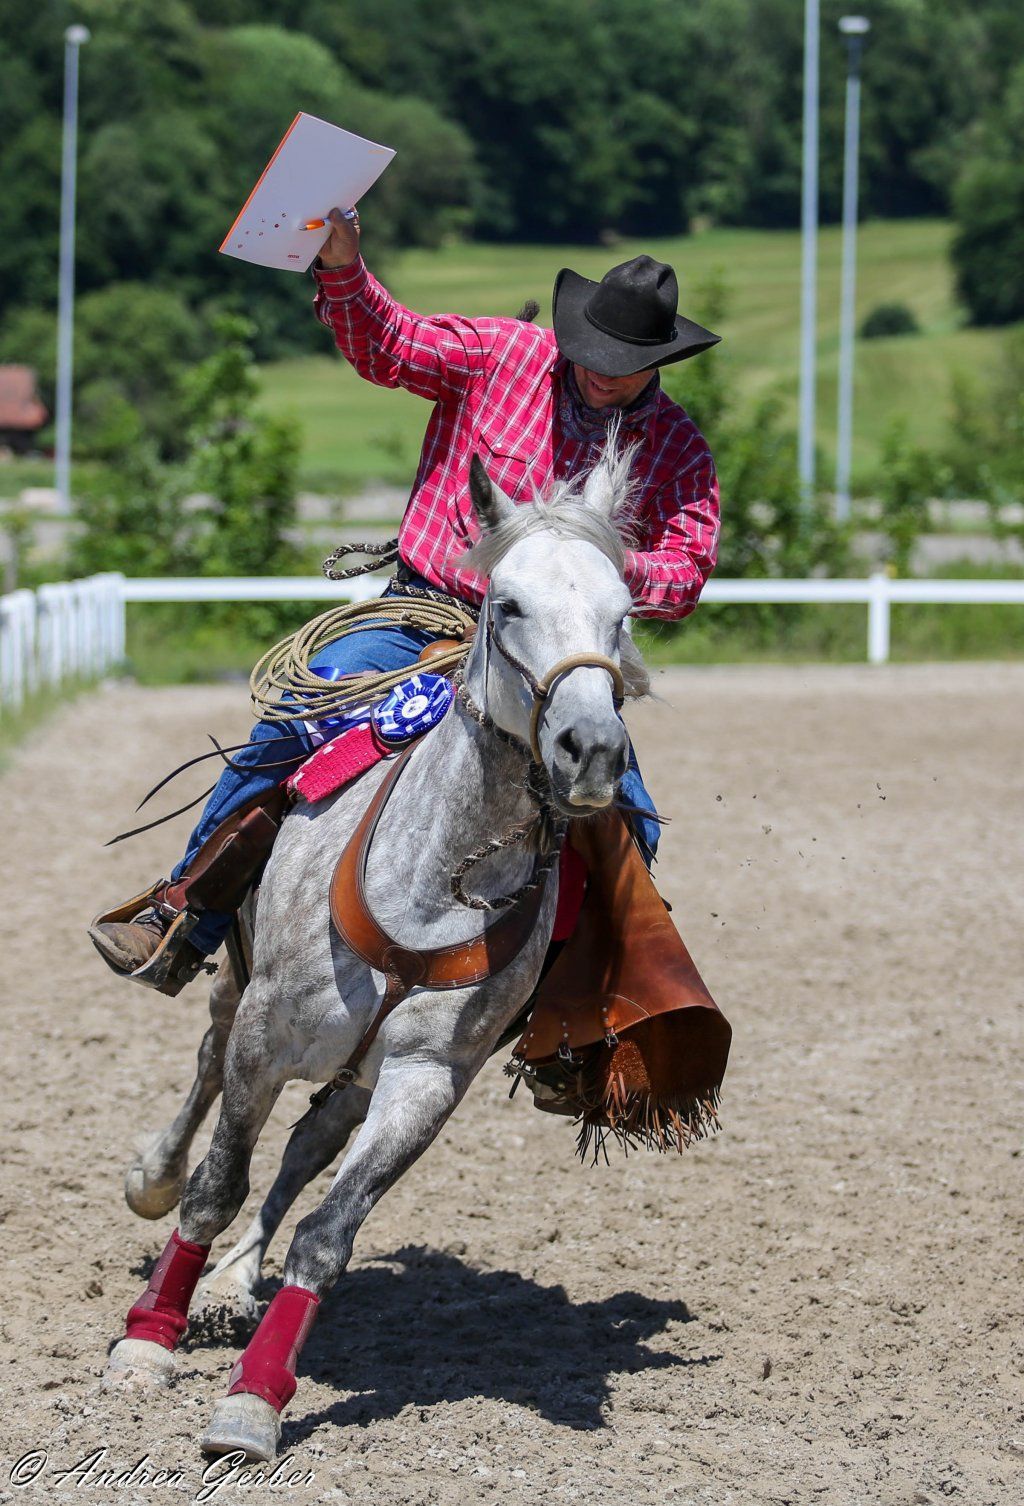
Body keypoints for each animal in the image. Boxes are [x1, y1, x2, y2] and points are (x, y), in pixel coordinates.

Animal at [104, 439, 650, 1463]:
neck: (433, 879)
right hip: (234, 986)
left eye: (622, 613)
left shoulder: (427, 1078)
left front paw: (253, 1403)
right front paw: (147, 1340)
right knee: (204, 1077)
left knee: (307, 1146)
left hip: (359, 1068)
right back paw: (153, 1181)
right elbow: (216, 1183)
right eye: (509, 603)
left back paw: (235, 1280)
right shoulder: (268, 1033)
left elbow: (327, 1229)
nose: (591, 749)